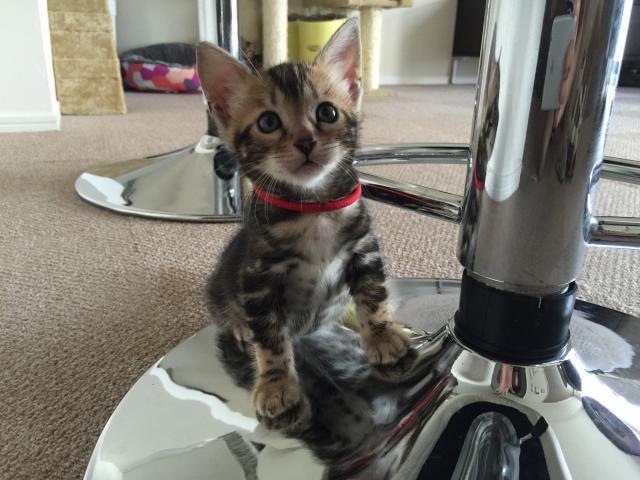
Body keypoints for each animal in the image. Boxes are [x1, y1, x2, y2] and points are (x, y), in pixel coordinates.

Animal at [197, 18, 411, 428]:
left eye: (327, 113)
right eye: (268, 122)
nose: (306, 141)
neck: (313, 208)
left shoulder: (363, 248)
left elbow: (372, 294)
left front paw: (382, 334)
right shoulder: (259, 279)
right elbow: (270, 337)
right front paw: (276, 384)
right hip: (220, 287)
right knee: (227, 315)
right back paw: (240, 327)